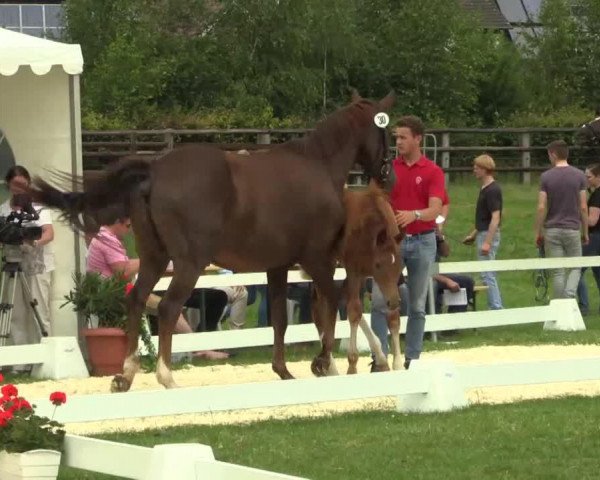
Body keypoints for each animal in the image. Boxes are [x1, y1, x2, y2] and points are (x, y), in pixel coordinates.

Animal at [29, 91, 394, 390]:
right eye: (386, 131)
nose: (387, 176)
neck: (318, 165)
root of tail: (155, 170)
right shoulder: (317, 259)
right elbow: (332, 303)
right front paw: (325, 363)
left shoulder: (278, 266)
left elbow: (280, 318)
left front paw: (284, 371)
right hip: (188, 264)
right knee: (167, 308)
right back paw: (166, 377)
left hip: (154, 258)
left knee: (136, 301)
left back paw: (126, 375)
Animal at [340, 184, 406, 376]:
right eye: (378, 264)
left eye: (400, 264)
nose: (394, 301)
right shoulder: (353, 272)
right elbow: (354, 312)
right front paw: (352, 365)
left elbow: (393, 317)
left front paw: (397, 364)